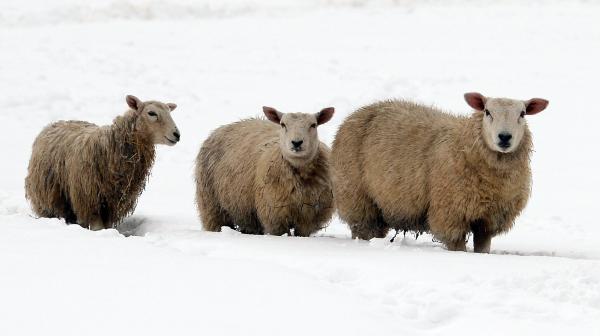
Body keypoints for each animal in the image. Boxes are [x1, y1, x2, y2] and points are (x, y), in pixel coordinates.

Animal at [24, 95, 179, 231]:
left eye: (169, 112)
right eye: (151, 113)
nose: (177, 134)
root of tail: (53, 124)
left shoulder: (113, 205)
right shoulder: (90, 202)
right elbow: (98, 228)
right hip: (48, 196)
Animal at [197, 106, 338, 235]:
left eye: (313, 125)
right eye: (283, 124)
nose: (297, 142)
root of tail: (223, 127)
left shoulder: (309, 218)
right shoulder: (275, 216)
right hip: (211, 205)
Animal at [330, 92, 552, 252]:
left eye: (522, 114)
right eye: (487, 112)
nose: (504, 137)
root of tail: (356, 113)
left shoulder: (488, 220)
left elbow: (483, 249)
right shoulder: (450, 215)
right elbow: (458, 248)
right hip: (357, 199)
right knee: (362, 228)